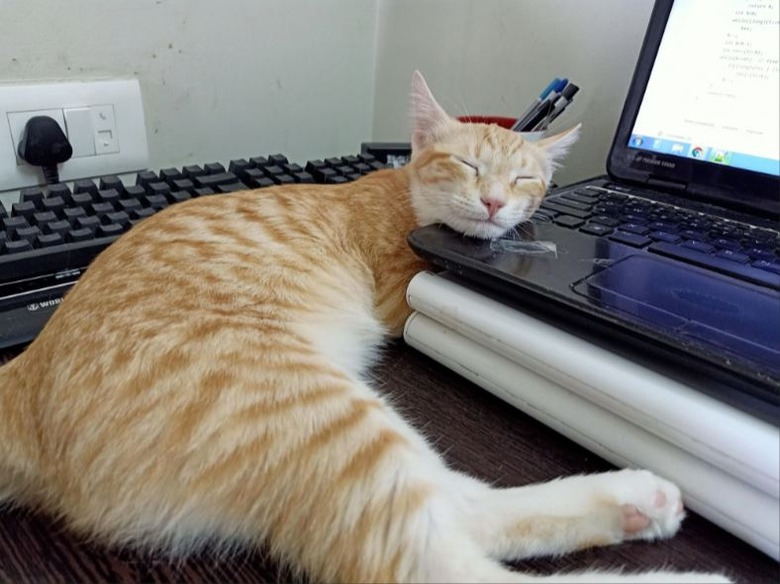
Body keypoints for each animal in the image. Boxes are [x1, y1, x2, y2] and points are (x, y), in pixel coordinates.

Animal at [0, 70, 732, 580]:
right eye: (469, 165)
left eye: (526, 178)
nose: (496, 203)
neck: (402, 195)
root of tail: (23, 379)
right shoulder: (396, 294)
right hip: (319, 410)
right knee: (433, 561)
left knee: (456, 509)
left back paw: (634, 498)